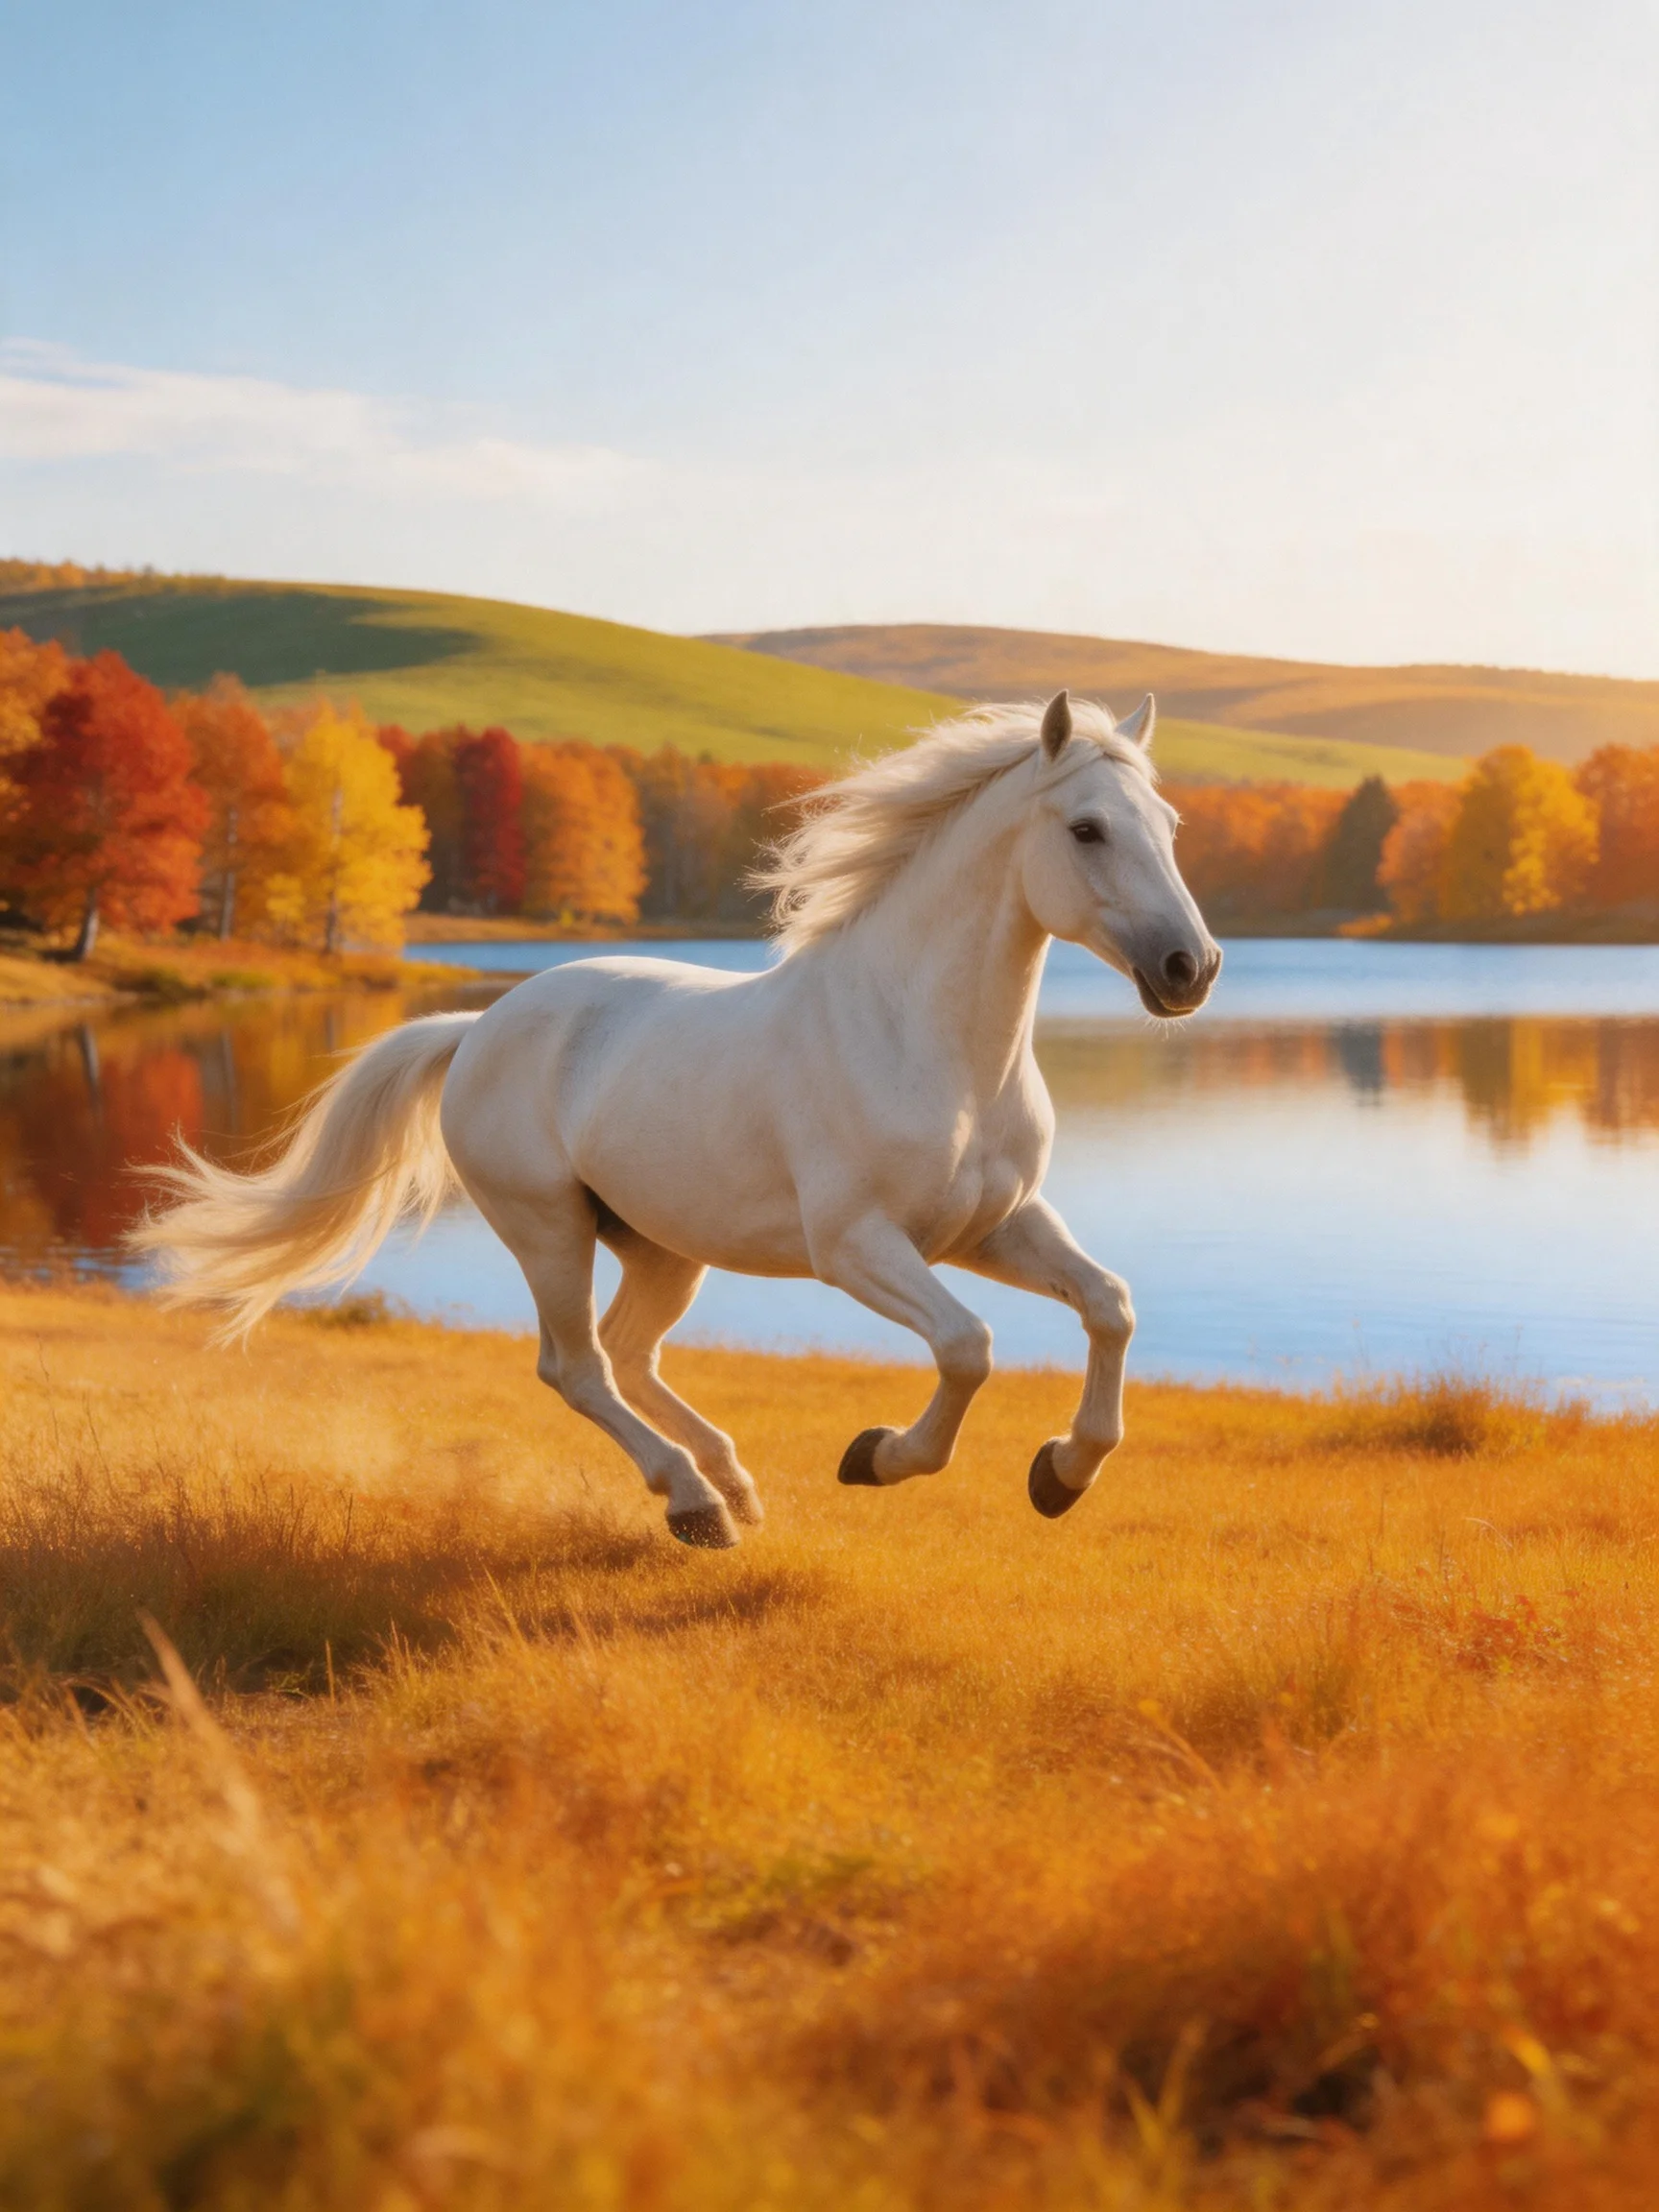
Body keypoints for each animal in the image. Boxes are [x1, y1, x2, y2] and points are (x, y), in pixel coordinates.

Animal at [132, 691, 1220, 1549]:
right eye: (1086, 829)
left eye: (1169, 824)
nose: (1191, 969)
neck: (928, 1045)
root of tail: (478, 1026)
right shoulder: (858, 1246)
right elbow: (968, 1347)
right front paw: (876, 1456)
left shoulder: (994, 1227)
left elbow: (1110, 1306)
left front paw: (1061, 1474)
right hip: (549, 1230)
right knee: (575, 1366)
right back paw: (695, 1504)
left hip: (661, 1245)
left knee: (628, 1352)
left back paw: (733, 1487)